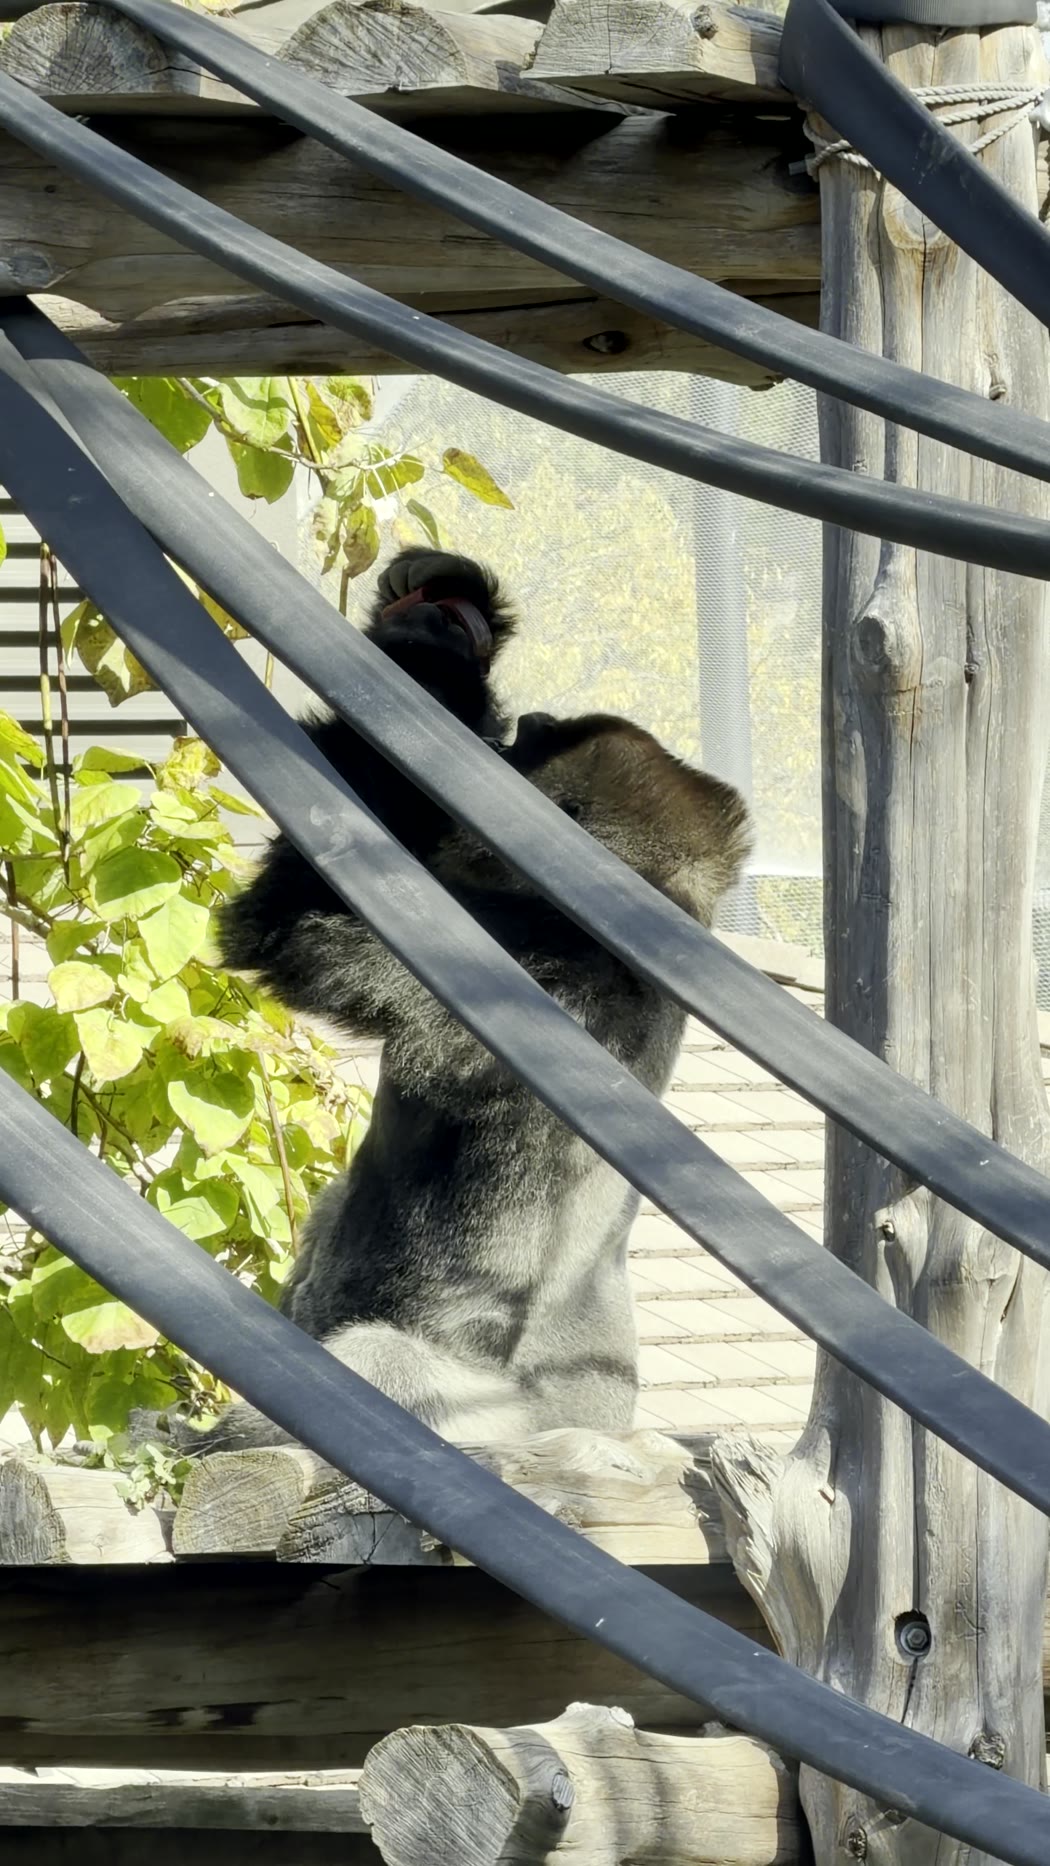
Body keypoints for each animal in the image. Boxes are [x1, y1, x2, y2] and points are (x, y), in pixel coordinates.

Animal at [177, 550, 751, 1453]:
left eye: (533, 746)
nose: (525, 724)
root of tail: (600, 1426)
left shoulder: (512, 951)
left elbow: (288, 918)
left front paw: (432, 655)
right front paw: (449, 616)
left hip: (496, 1421)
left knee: (381, 1368)